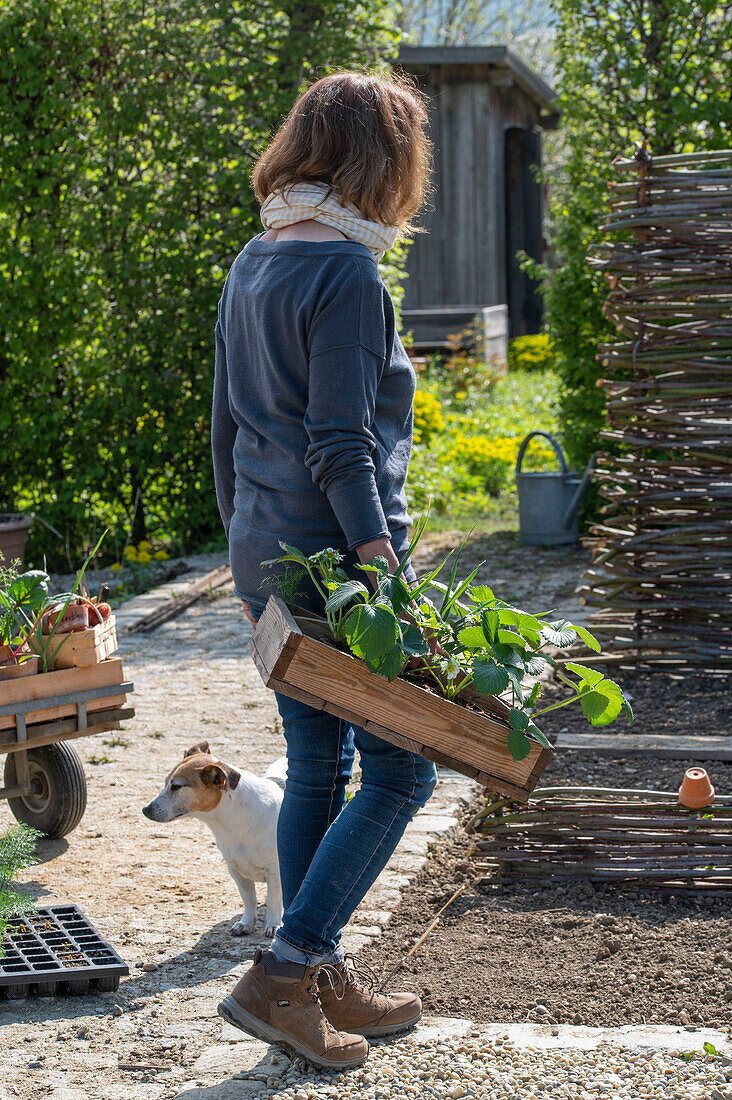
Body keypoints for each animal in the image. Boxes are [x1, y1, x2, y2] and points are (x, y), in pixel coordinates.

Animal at [140, 743, 283, 932]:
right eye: (165, 783)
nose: (145, 810)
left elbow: (273, 901)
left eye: (176, 786)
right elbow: (249, 899)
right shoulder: (236, 870)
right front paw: (246, 923)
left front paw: (273, 924)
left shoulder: (275, 872)